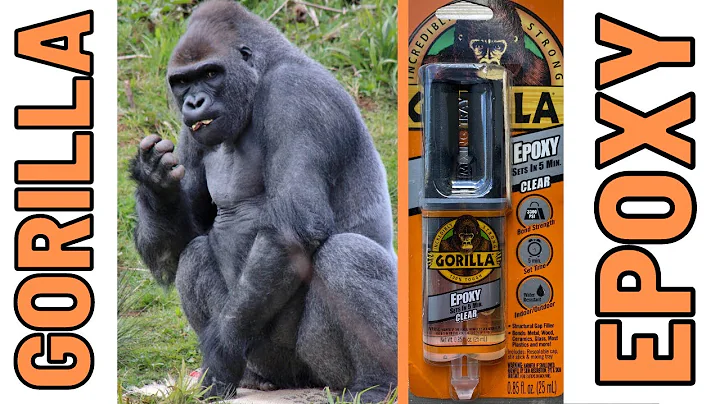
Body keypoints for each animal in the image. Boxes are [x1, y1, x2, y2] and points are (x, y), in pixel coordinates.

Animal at [130, 0, 397, 401]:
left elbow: (293, 227)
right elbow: (179, 246)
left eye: (211, 73)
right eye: (182, 82)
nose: (194, 102)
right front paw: (156, 184)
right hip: (265, 360)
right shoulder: (192, 132)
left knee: (349, 254)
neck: (259, 78)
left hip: (326, 367)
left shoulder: (298, 95)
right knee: (194, 255)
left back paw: (378, 384)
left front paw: (220, 355)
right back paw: (254, 380)